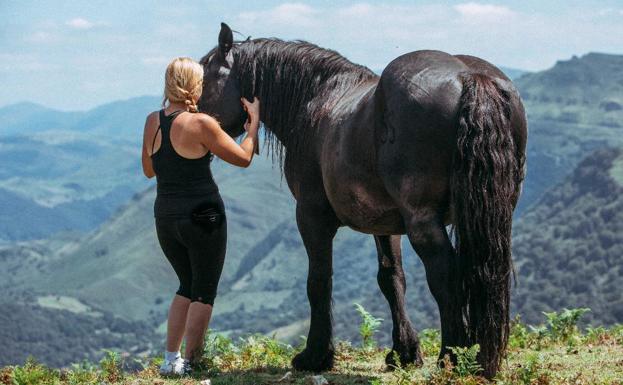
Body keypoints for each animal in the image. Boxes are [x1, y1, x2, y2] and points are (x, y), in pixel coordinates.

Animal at [199, 22, 528, 376]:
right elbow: (392, 279)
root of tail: (469, 76)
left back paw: (451, 358)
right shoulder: (385, 224)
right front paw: (404, 352)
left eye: (204, 78)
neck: (316, 101)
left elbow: (318, 281)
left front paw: (315, 355)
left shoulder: (311, 215)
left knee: (445, 274)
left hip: (423, 219)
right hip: (491, 215)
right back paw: (477, 357)